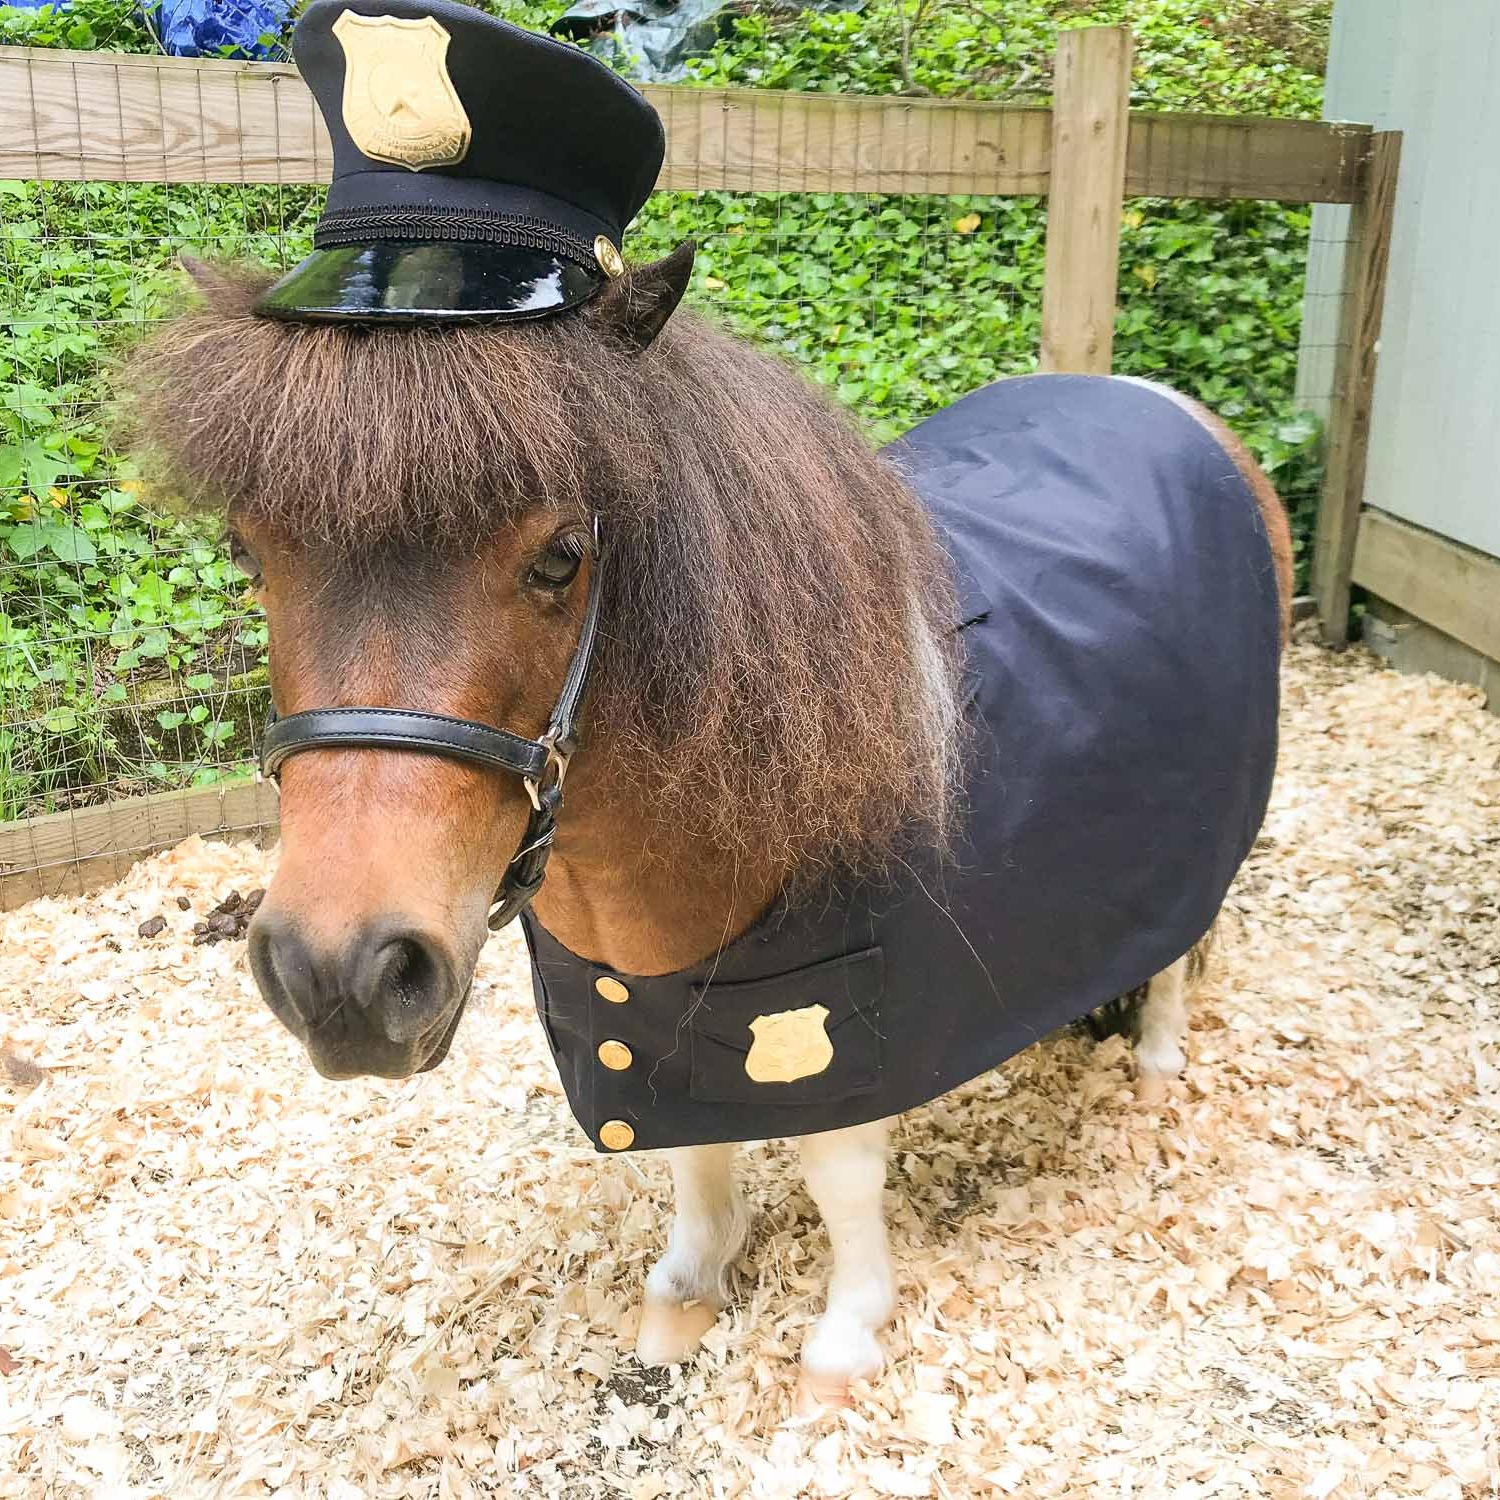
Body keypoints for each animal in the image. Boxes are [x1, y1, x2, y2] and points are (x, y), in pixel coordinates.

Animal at [124, 246, 1292, 1406]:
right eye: (248, 554)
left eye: (560, 558)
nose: (341, 974)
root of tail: (1168, 403)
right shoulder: (638, 1013)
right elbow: (688, 1142)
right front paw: (689, 1285)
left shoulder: (842, 1016)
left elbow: (838, 1167)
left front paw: (846, 1336)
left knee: (1183, 937)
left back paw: (1156, 1060)